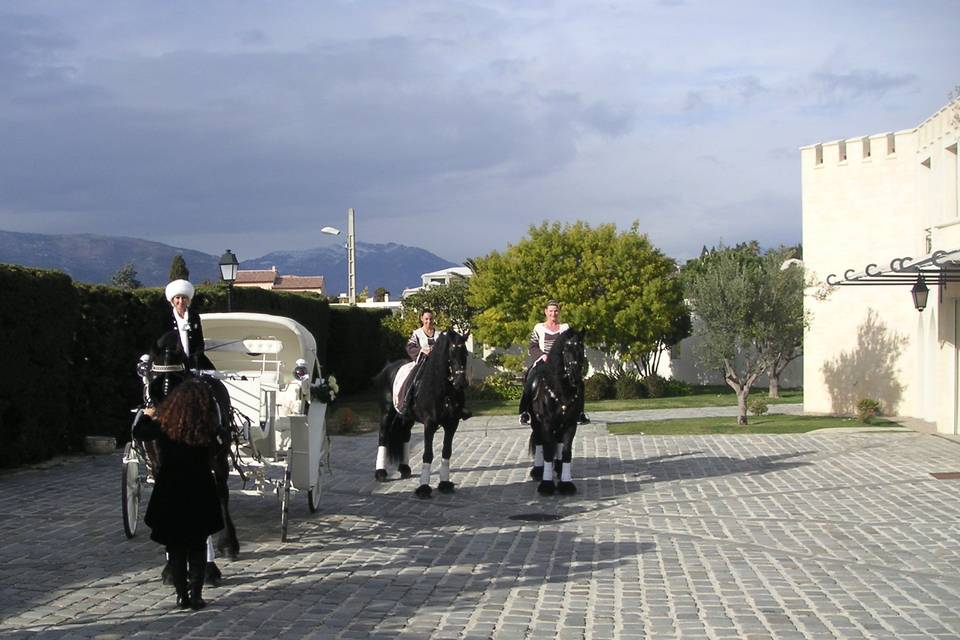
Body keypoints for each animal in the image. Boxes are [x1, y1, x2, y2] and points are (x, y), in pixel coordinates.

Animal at [372, 330, 468, 500]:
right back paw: (381, 473)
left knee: (404, 436)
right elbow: (428, 454)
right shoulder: (429, 424)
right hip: (387, 412)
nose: (460, 382)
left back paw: (404, 468)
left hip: (407, 418)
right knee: (383, 436)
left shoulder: (452, 424)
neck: (444, 391)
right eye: (451, 352)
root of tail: (388, 367)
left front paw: (445, 484)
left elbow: (447, 451)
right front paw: (424, 488)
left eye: (466, 353)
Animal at [524, 328, 584, 498]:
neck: (561, 391)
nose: (575, 378)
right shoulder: (546, 424)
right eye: (566, 350)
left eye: (582, 349)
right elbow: (548, 452)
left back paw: (558, 468)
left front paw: (566, 484)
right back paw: (538, 471)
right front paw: (547, 485)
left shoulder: (570, 424)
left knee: (558, 442)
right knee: (539, 441)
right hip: (535, 423)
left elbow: (566, 451)